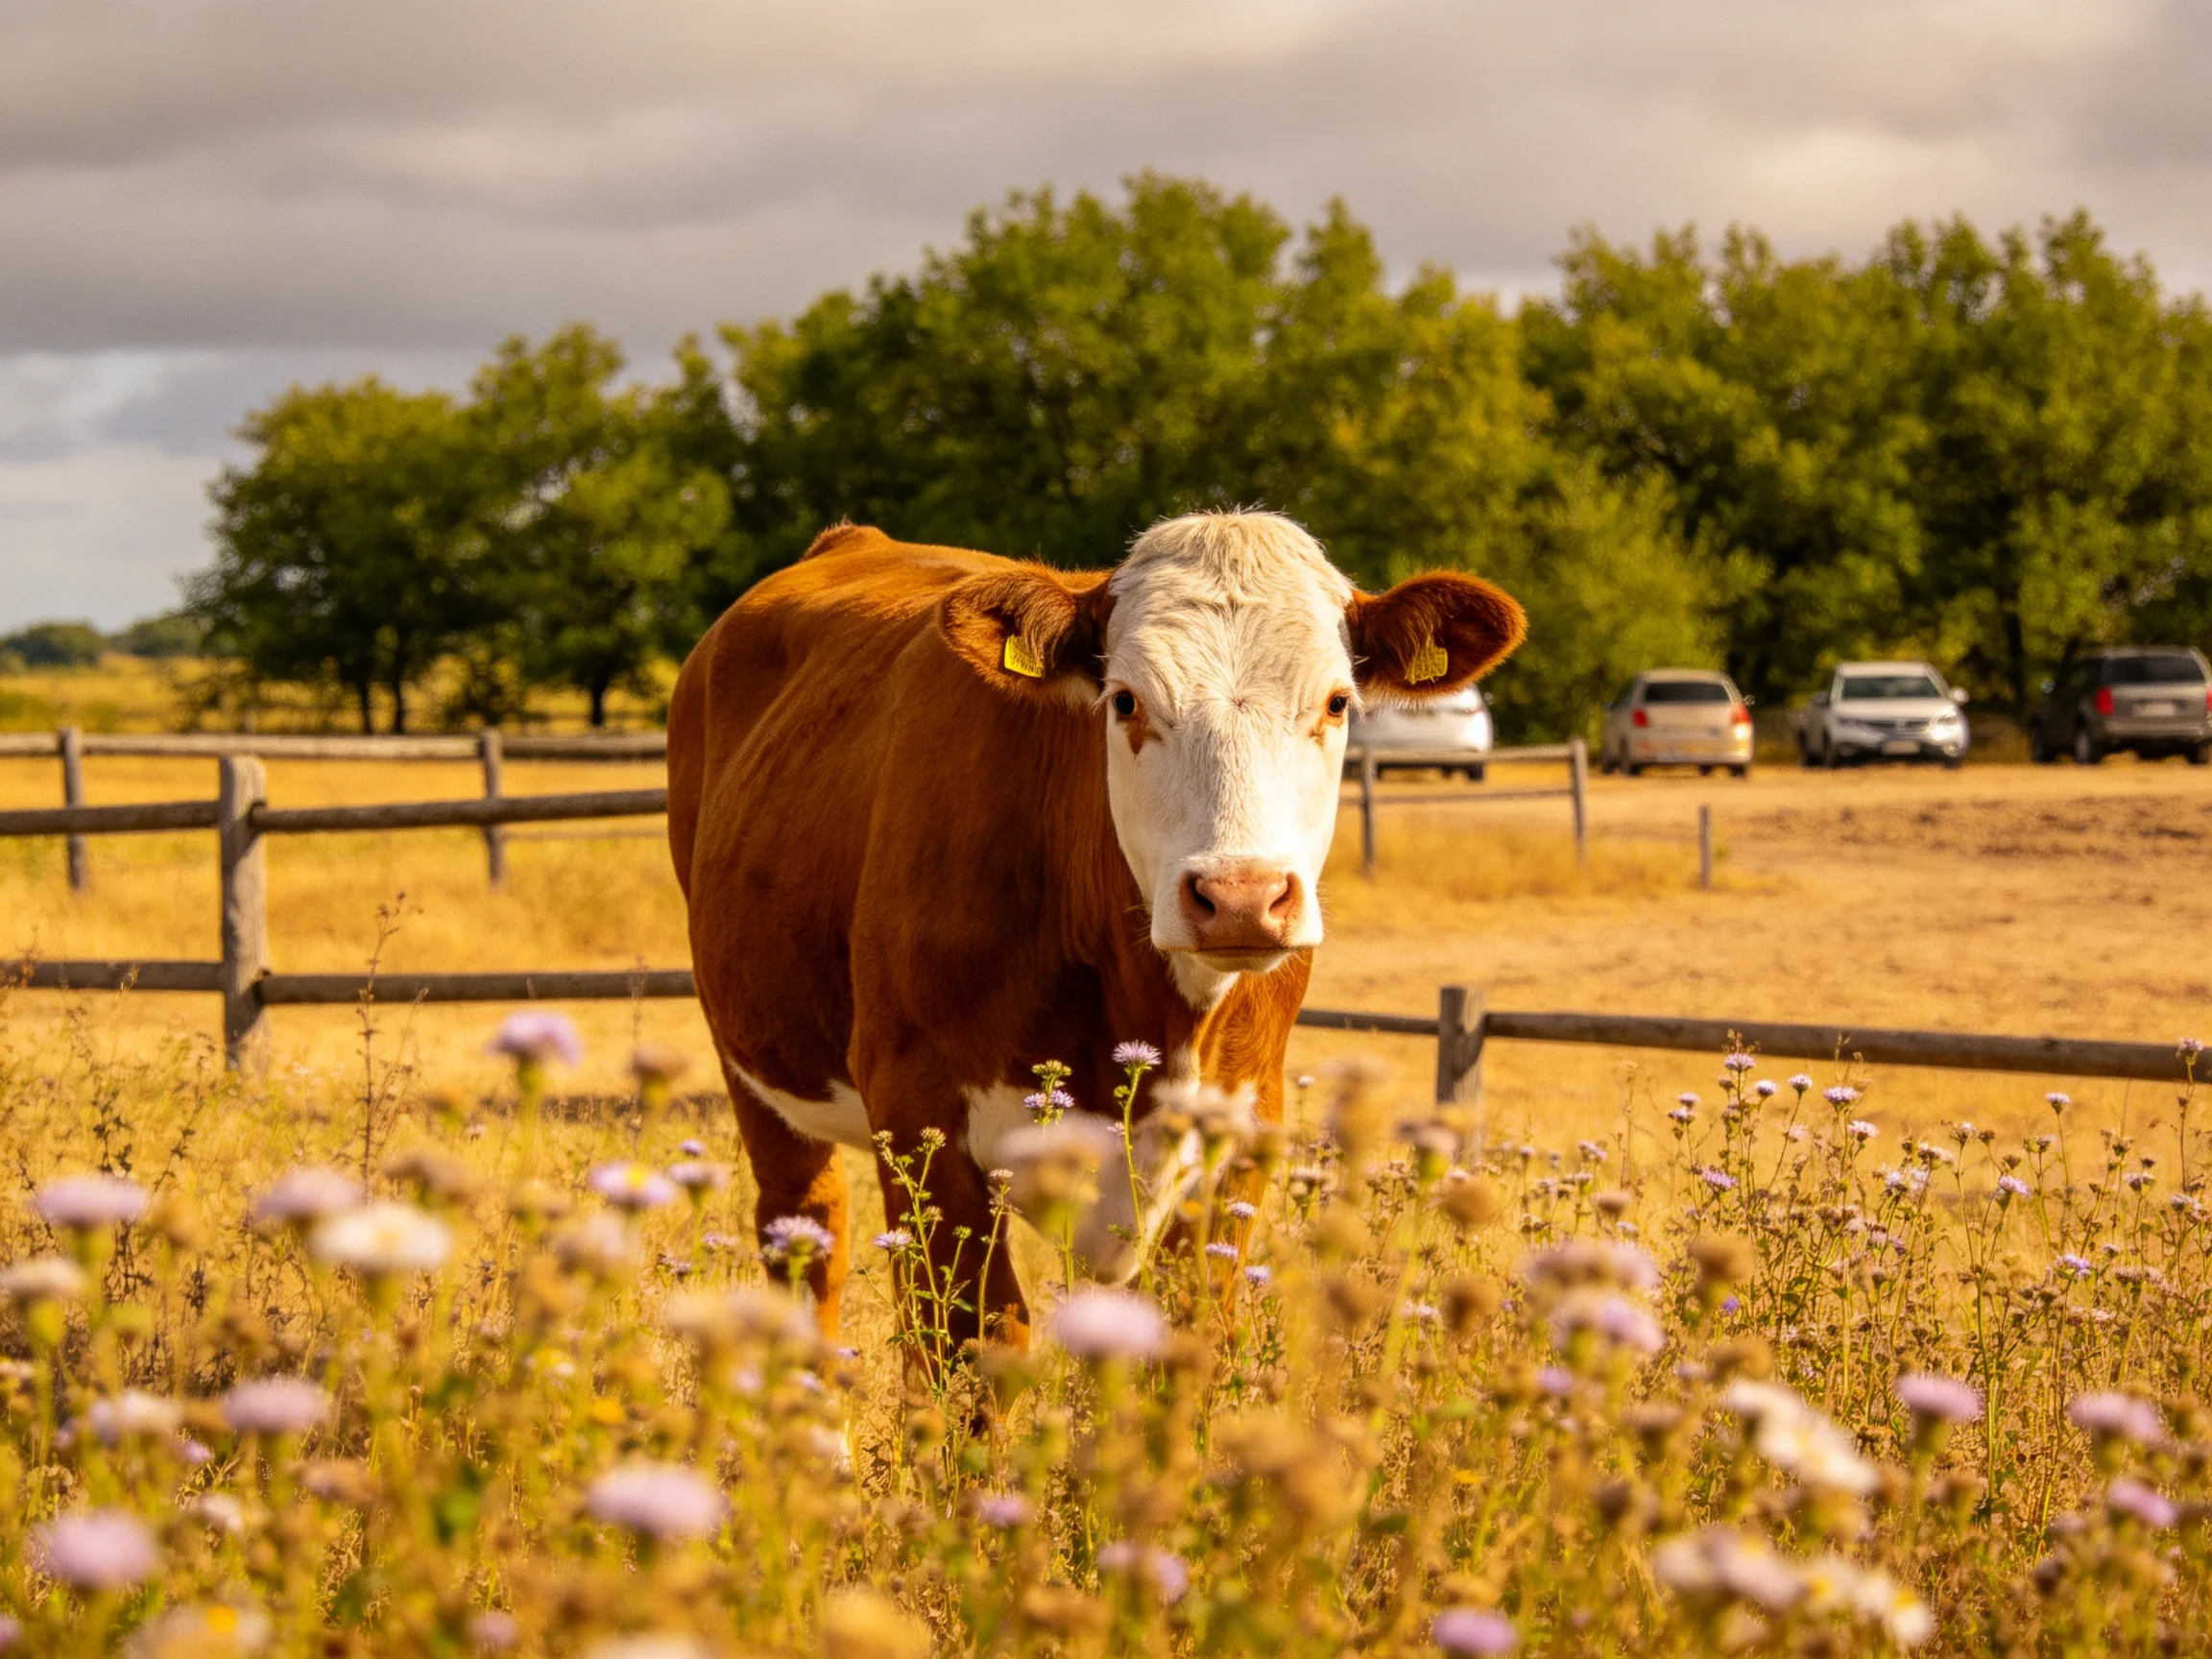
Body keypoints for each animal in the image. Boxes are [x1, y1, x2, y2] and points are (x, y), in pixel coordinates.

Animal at [666, 510, 1523, 1348]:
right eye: (1126, 701)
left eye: (1338, 702)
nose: (1240, 897)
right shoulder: (916, 1113)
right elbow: (976, 1337)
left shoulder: (1245, 1134)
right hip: (755, 1066)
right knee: (807, 1239)